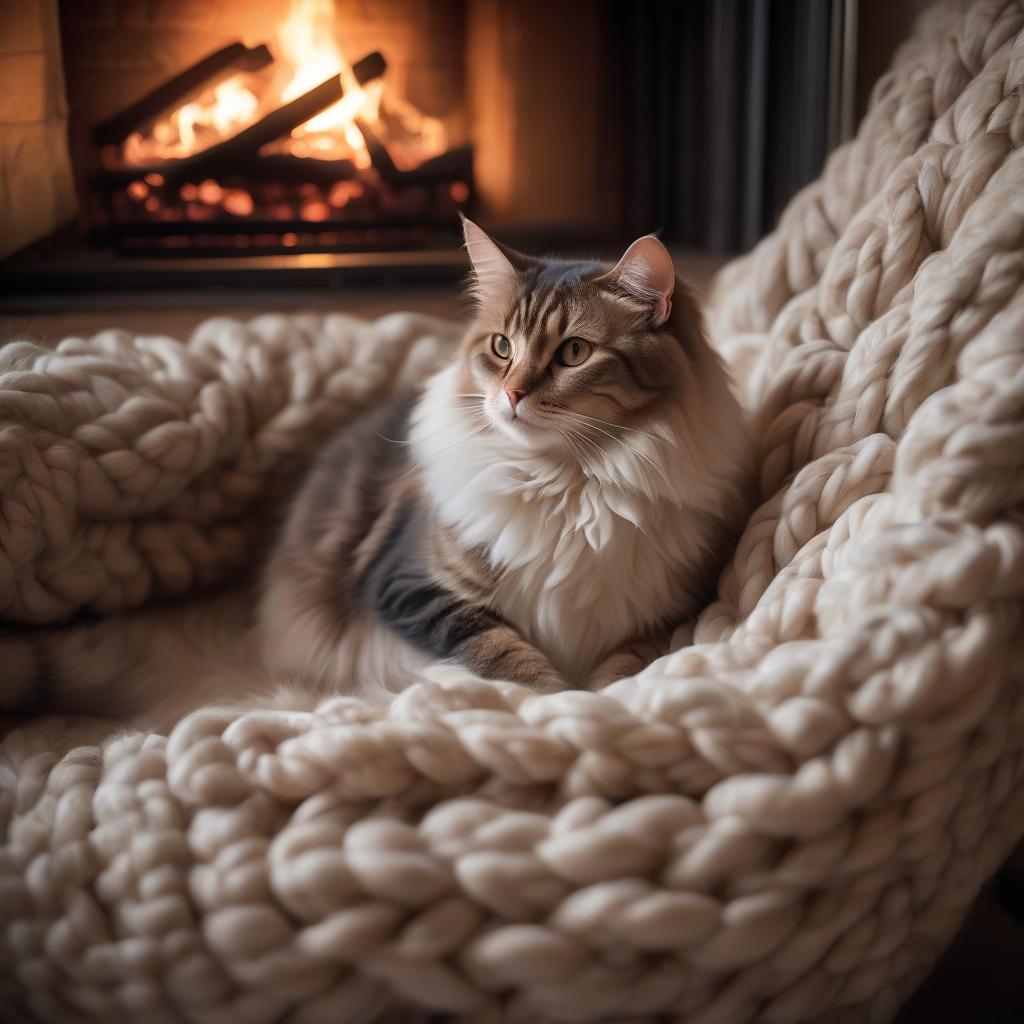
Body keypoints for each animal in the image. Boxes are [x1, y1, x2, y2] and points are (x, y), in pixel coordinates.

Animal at [256, 220, 753, 704]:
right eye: (501, 347)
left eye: (574, 352)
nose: (512, 394)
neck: (568, 481)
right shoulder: (409, 585)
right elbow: (501, 652)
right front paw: (550, 702)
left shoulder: (670, 613)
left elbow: (625, 667)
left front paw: (605, 700)